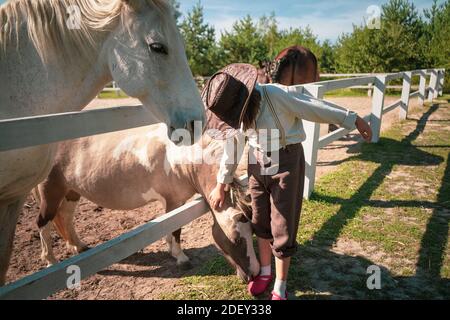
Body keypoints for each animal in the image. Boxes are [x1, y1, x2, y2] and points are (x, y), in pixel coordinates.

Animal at [0, 0, 204, 284]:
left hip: (70, 192)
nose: (196, 122)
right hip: (51, 193)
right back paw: (50, 260)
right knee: (43, 223)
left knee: (65, 217)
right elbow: (174, 230)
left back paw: (79, 246)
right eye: (157, 47)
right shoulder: (172, 200)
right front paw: (181, 258)